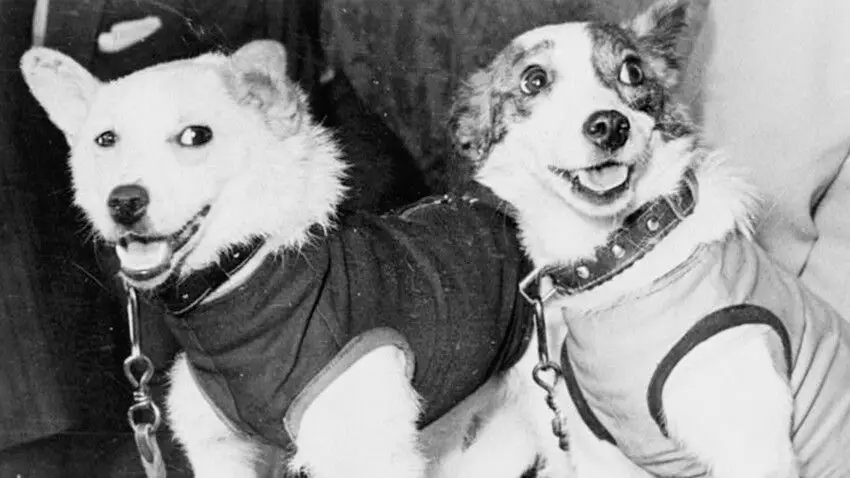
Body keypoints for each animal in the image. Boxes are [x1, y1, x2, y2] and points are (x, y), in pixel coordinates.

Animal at [450, 0, 850, 476]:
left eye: (633, 72)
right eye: (534, 80)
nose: (610, 125)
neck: (624, 258)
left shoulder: (752, 448)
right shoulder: (598, 451)